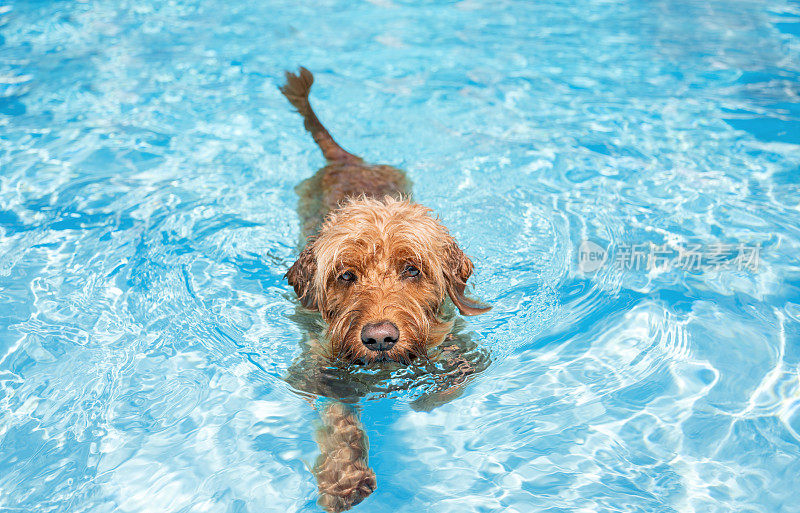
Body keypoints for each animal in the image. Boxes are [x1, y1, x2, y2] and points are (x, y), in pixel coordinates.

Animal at [282, 68, 494, 512]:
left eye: (412, 269)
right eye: (345, 275)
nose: (379, 337)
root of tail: (346, 159)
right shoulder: (321, 368)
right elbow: (340, 421)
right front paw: (344, 477)